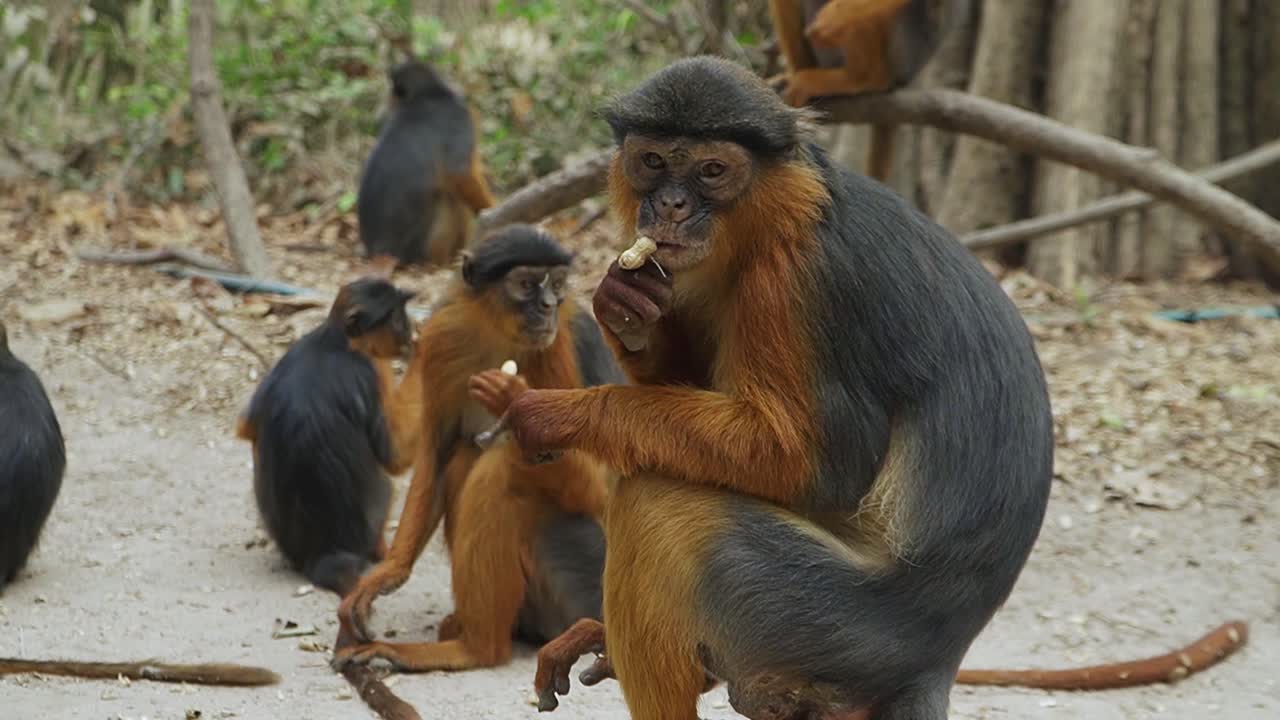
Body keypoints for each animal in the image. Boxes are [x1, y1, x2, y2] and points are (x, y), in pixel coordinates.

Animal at [235, 278, 419, 598]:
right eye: (396, 318)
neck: (335, 342)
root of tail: (324, 553)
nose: (409, 330)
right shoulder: (371, 371)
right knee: (387, 486)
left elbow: (246, 428)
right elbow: (393, 457)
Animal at [332, 224, 624, 676]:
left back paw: (476, 649)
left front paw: (519, 401)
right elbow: (436, 453)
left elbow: (602, 486)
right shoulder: (442, 337)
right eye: (527, 285)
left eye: (557, 285)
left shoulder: (573, 338)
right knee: (467, 457)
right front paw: (386, 574)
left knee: (502, 466)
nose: (548, 306)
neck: (500, 338)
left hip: (591, 574)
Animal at [357, 59, 497, 273]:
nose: (388, 103)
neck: (430, 95)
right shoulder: (459, 115)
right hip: (423, 249)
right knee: (449, 196)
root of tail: (384, 251)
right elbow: (460, 172)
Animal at [475, 55, 1058, 720]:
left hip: (823, 621)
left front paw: (554, 416)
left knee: (657, 500)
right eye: (652, 161)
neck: (782, 214)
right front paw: (626, 308)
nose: (670, 205)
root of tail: (939, 655)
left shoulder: (794, 280)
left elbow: (810, 463)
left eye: (711, 170)